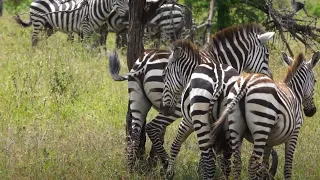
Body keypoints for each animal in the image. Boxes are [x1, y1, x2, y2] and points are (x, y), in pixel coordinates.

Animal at [109, 23, 274, 172]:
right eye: (267, 55)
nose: (270, 77)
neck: (220, 59)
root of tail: (144, 61)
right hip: (172, 107)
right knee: (152, 127)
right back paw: (166, 163)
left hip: (138, 101)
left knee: (135, 134)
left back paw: (132, 169)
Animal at [211, 51, 318, 179]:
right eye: (315, 81)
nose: (312, 111)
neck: (294, 92)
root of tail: (246, 83)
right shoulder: (294, 133)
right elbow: (287, 166)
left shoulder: (269, 140)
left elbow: (264, 166)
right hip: (261, 126)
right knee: (252, 163)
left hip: (236, 128)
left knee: (237, 162)